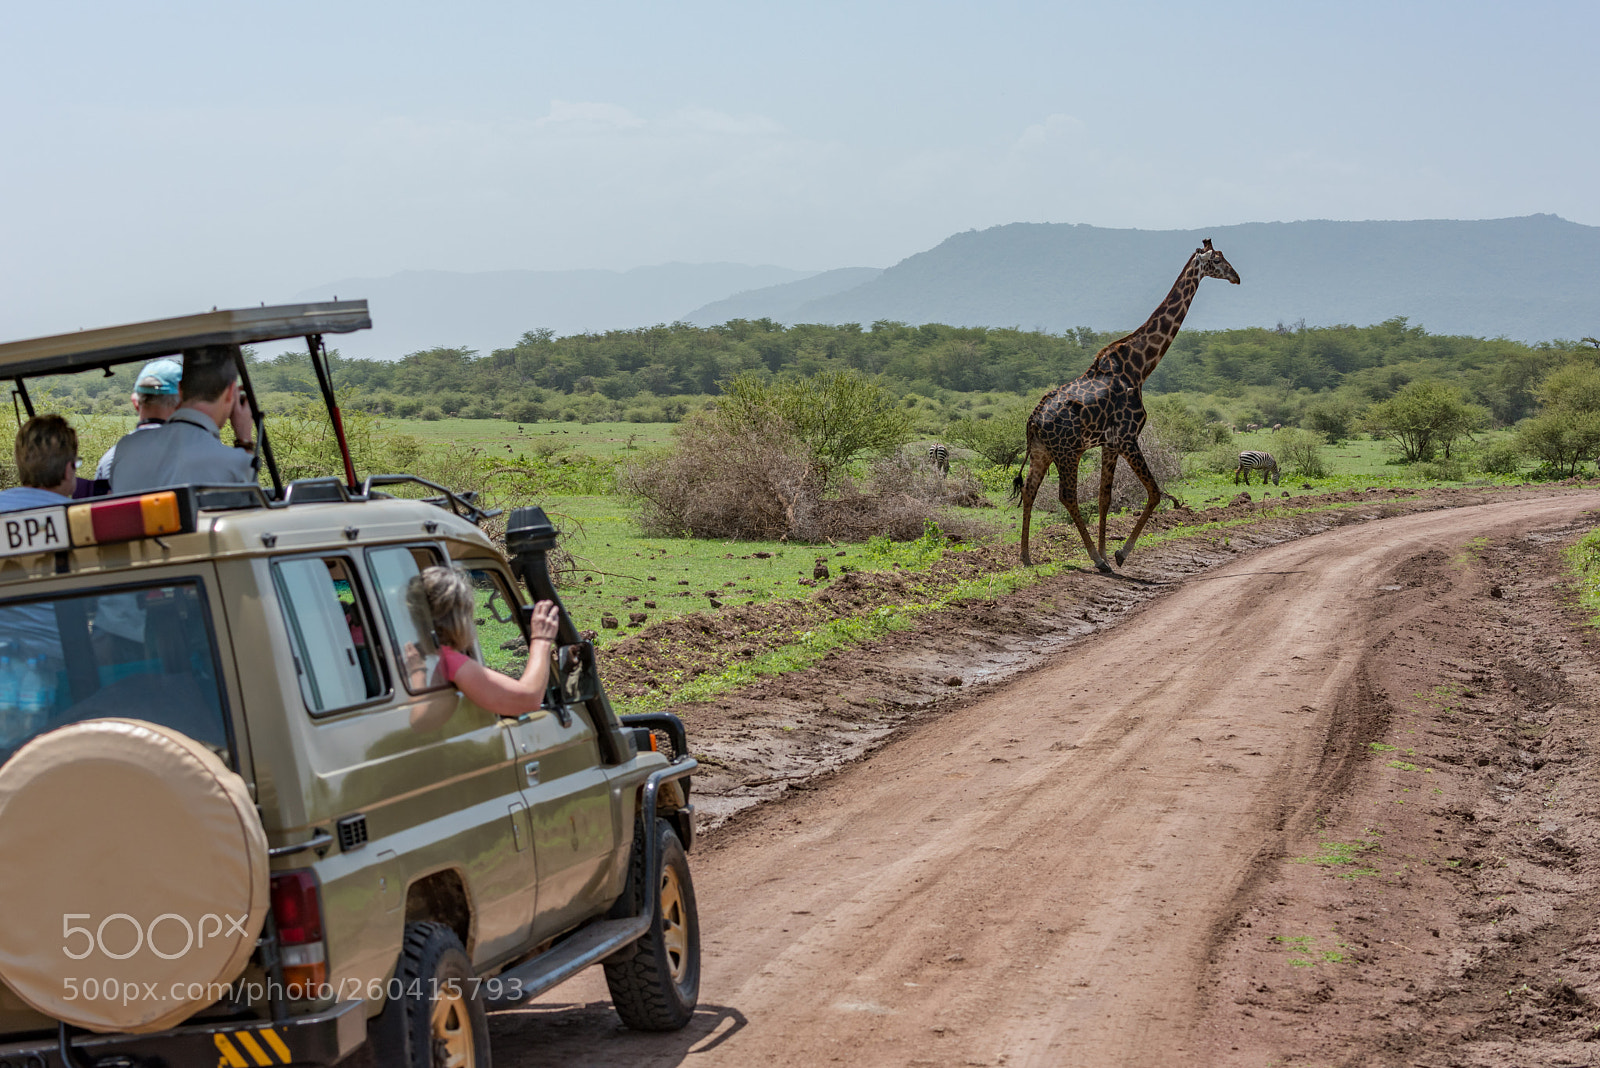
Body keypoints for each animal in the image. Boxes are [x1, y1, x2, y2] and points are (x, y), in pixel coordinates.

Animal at [1013, 239, 1240, 570]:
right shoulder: (1127, 436)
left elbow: (1104, 498)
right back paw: (1094, 559)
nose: (1237, 277)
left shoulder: (1110, 442)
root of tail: (1033, 420)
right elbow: (1155, 493)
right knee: (1067, 496)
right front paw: (1118, 554)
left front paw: (1110, 551)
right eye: (1218, 260)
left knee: (1030, 491)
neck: (1140, 366)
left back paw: (1027, 556)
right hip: (1068, 452)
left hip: (1043, 452)